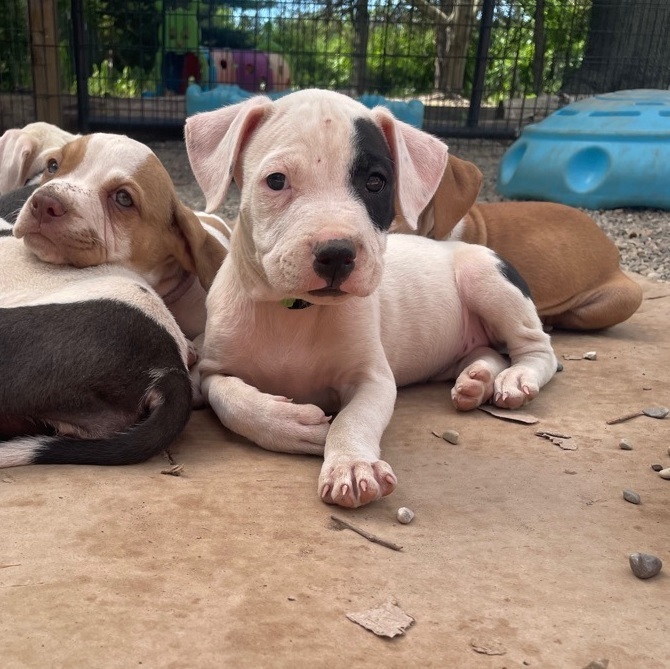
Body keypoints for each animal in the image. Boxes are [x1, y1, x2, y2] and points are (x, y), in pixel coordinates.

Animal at [186, 88, 560, 506]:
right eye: (277, 181)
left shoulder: (373, 379)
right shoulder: (211, 371)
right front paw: (292, 424)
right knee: (489, 351)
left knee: (538, 349)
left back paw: (516, 378)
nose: (336, 253)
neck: (296, 310)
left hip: (485, 278)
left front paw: (351, 463)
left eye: (377, 182)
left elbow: (354, 418)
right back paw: (475, 379)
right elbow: (232, 401)